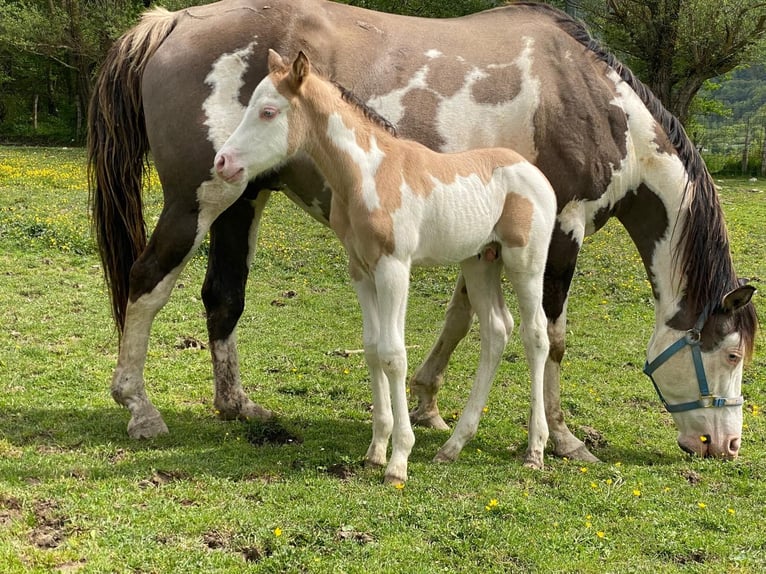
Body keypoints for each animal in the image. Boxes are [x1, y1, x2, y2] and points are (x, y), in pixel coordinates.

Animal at [87, 0, 760, 462]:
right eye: (730, 353)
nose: (726, 447)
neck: (593, 100)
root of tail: (173, 22)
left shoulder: (481, 240)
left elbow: (465, 320)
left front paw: (430, 406)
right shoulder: (562, 232)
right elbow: (554, 337)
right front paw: (562, 438)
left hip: (241, 198)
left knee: (223, 297)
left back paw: (237, 406)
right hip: (198, 199)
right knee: (147, 284)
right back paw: (139, 407)